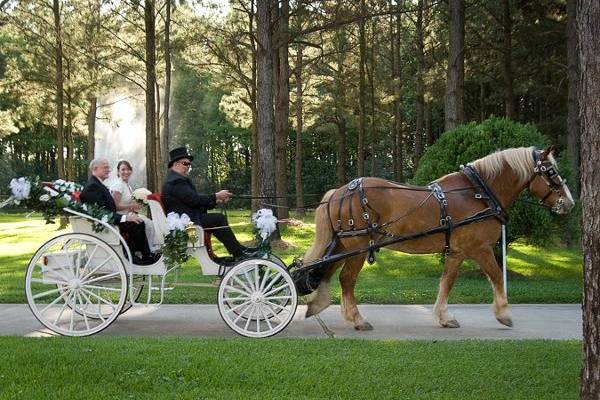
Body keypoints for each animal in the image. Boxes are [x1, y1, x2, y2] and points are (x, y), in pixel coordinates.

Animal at [302, 147, 576, 332]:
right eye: (551, 172)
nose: (570, 204)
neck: (477, 193)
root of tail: (338, 192)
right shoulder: (480, 249)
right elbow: (497, 276)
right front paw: (504, 314)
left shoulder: (456, 252)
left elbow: (447, 282)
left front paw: (444, 317)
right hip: (357, 246)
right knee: (346, 279)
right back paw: (357, 319)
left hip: (343, 244)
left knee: (326, 271)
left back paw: (320, 305)